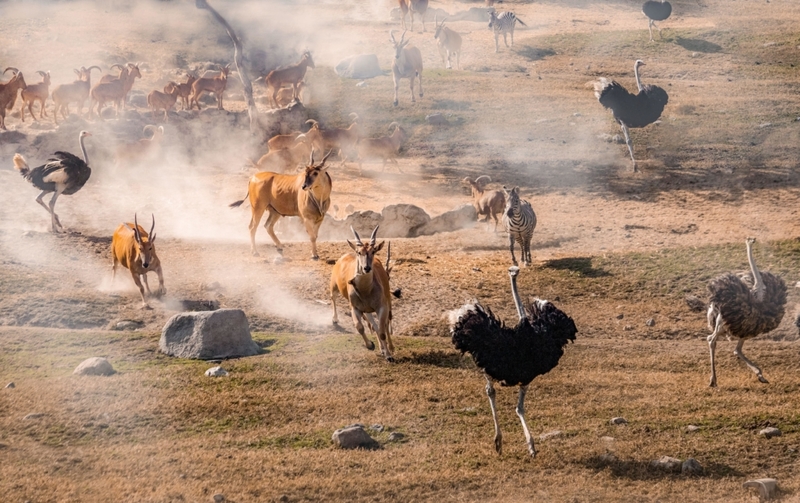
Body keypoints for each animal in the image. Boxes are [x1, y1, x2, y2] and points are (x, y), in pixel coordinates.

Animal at [330, 225, 396, 362]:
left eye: (373, 251)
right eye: (359, 252)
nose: (366, 268)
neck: (366, 290)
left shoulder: (381, 307)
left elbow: (382, 331)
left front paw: (388, 355)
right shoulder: (355, 308)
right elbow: (359, 327)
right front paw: (371, 345)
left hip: (384, 302)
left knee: (384, 324)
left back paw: (389, 348)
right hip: (334, 286)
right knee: (332, 297)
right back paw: (335, 319)